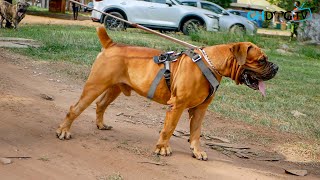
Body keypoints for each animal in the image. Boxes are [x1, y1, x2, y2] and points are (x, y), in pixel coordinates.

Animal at [56, 27, 278, 160]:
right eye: (261, 60)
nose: (277, 67)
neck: (211, 63)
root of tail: (112, 44)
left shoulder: (200, 110)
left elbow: (196, 132)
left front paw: (197, 151)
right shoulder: (177, 105)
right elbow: (169, 128)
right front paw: (162, 148)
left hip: (114, 88)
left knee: (101, 104)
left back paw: (101, 125)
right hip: (95, 86)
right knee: (74, 108)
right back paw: (64, 131)